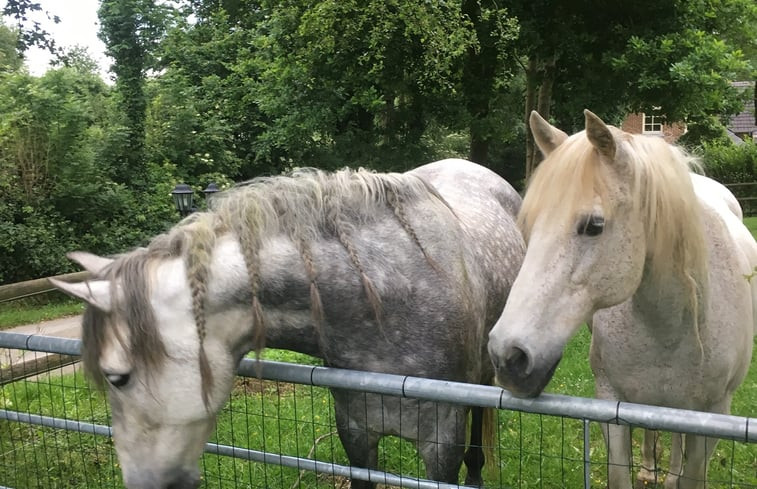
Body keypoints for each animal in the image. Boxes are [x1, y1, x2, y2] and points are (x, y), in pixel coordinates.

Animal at [488, 110, 752, 488]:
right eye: (529, 225)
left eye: (594, 226)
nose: (507, 356)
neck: (670, 328)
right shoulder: (610, 402)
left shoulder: (713, 417)